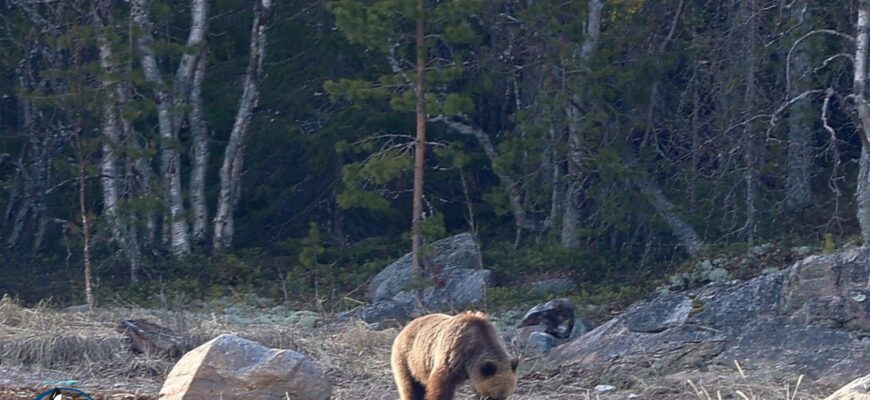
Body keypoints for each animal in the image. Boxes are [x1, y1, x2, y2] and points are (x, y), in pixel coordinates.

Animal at [390, 311, 519, 400]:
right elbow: (441, 386)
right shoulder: (452, 356)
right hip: (408, 360)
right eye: (493, 396)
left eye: (505, 396)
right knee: (411, 387)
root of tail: (405, 328)